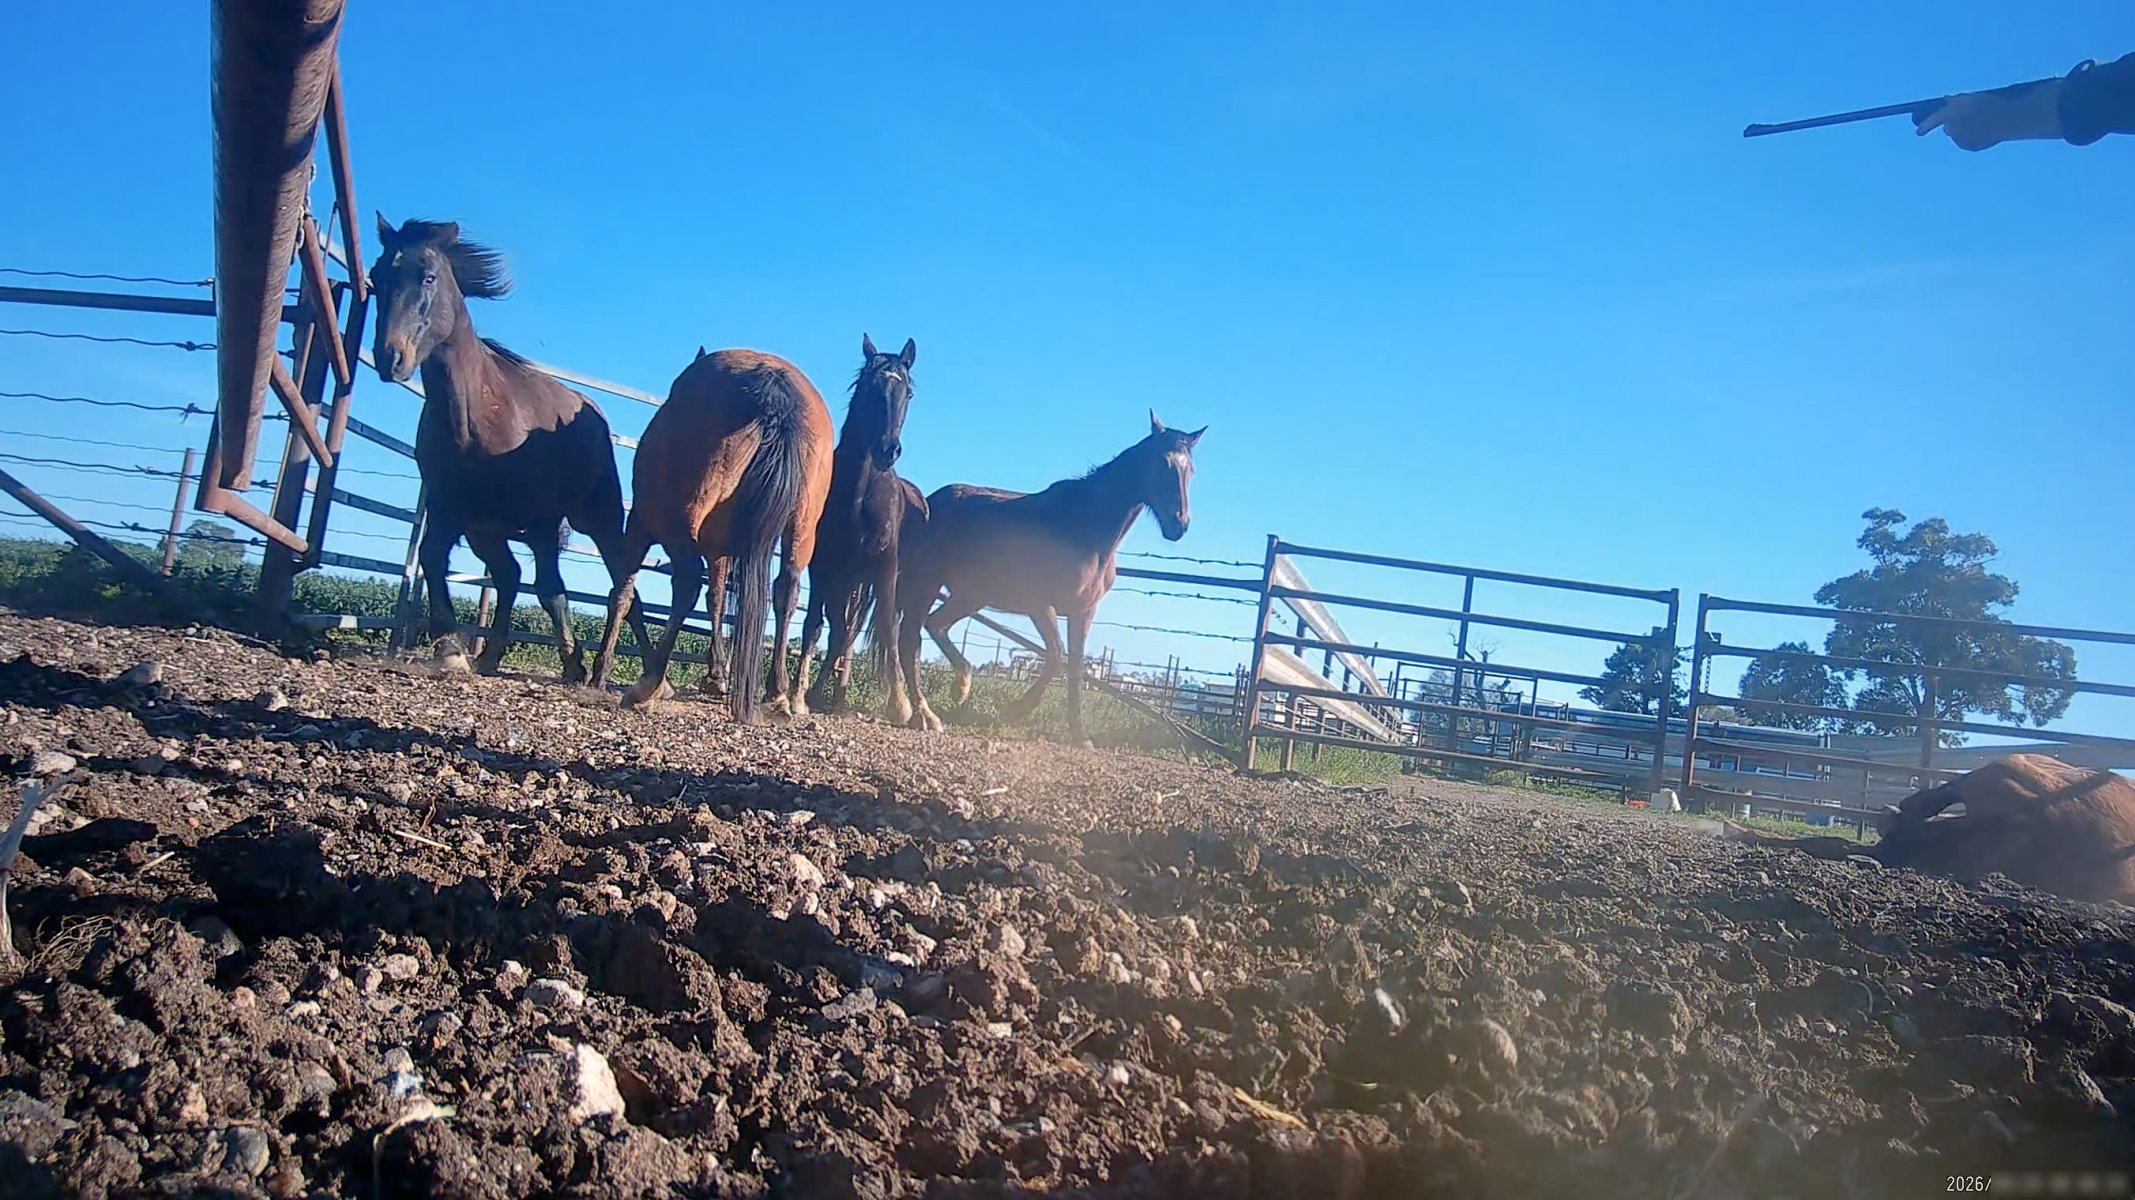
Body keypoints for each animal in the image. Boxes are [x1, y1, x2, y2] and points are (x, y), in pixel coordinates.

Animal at [366, 215, 652, 680]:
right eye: (376, 277)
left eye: (427, 276)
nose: (390, 357)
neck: (476, 418)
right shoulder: (450, 509)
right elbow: (432, 557)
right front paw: (452, 649)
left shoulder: (541, 521)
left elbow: (551, 589)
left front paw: (574, 663)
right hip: (487, 529)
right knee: (508, 574)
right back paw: (490, 653)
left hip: (597, 519)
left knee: (623, 590)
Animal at [590, 347, 834, 724]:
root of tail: (772, 383)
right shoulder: (719, 549)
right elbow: (716, 599)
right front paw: (717, 674)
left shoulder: (640, 525)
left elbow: (623, 593)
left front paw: (600, 670)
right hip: (803, 526)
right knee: (786, 591)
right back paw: (777, 693)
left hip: (679, 518)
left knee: (687, 580)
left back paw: (648, 685)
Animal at [792, 334, 920, 722]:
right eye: (868, 386)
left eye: (908, 392)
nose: (887, 450)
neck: (861, 494)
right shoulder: (823, 567)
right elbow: (815, 626)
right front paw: (798, 697)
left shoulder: (885, 567)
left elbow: (889, 632)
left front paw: (900, 705)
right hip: (844, 580)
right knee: (839, 631)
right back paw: (819, 694)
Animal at [893, 412, 1206, 746]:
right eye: (1162, 463)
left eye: (1190, 470)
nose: (1179, 525)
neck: (1085, 528)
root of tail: (927, 502)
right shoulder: (1041, 605)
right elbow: (1056, 655)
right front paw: (1014, 711)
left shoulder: (1084, 611)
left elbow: (1075, 667)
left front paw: (1080, 735)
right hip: (929, 584)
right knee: (910, 639)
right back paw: (926, 715)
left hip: (969, 596)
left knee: (935, 625)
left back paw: (959, 688)